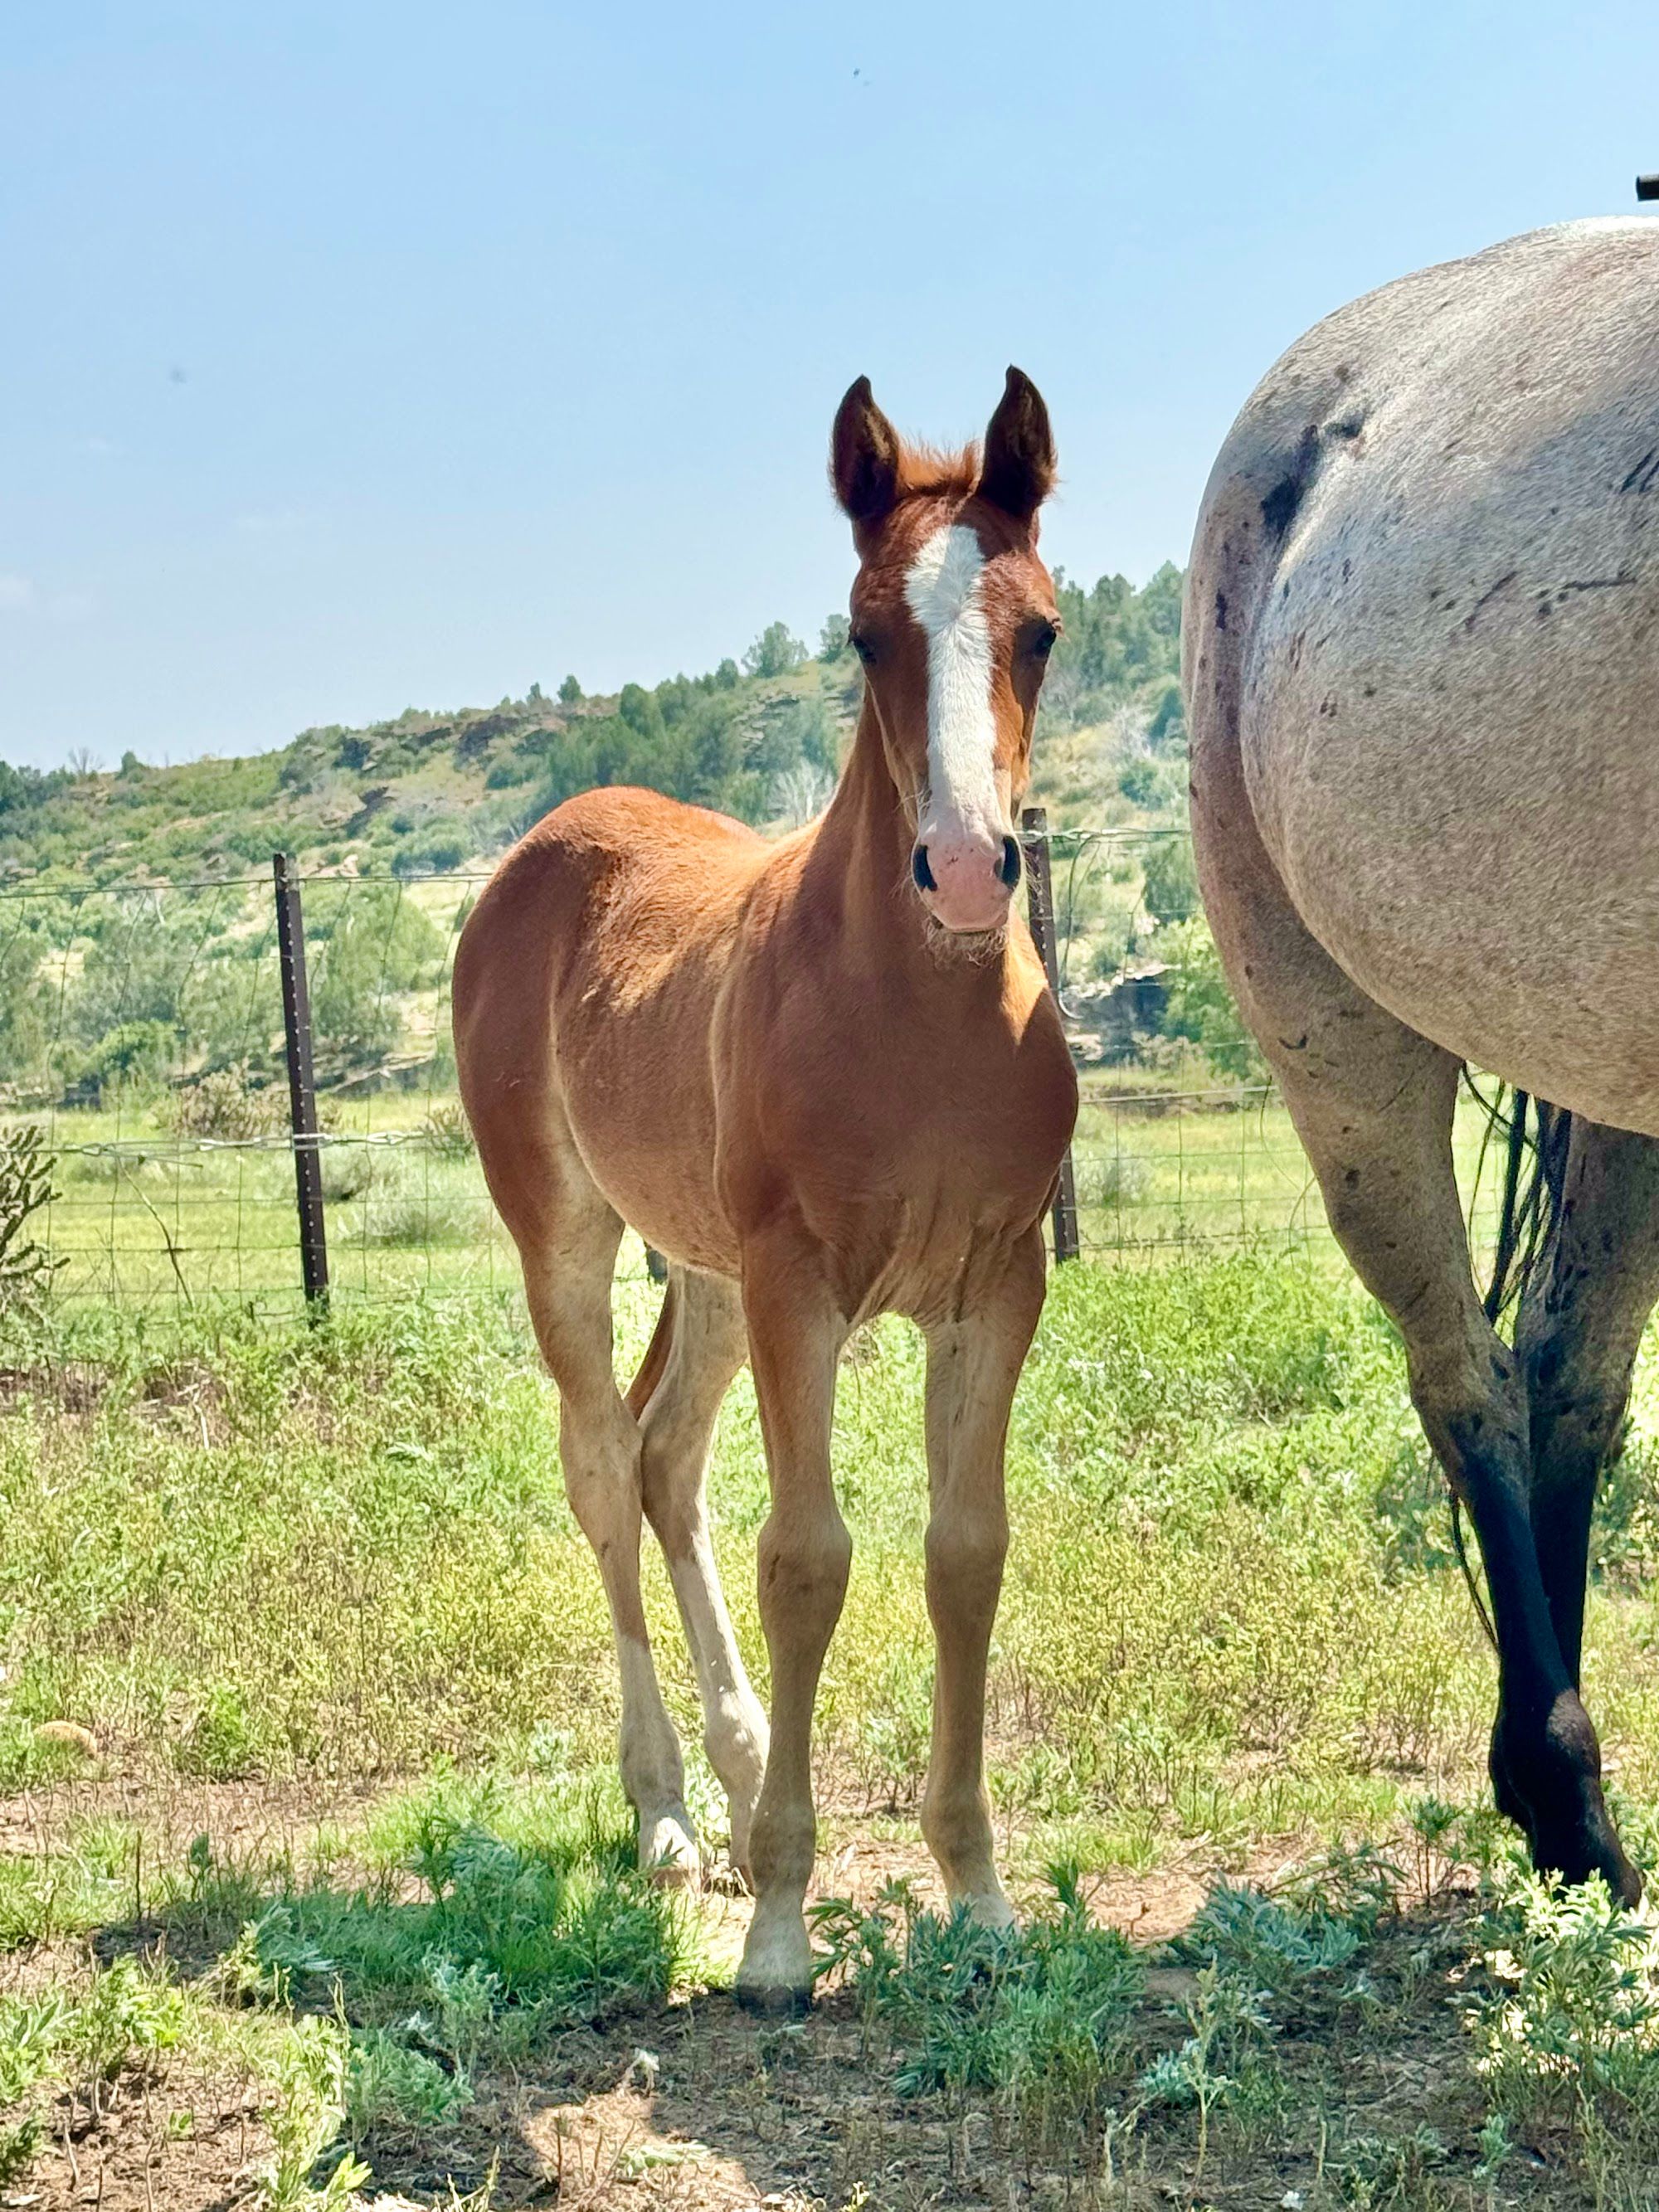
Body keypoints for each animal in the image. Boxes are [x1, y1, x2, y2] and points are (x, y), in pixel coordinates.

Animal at [452, 369, 1078, 2006]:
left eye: (1043, 629)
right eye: (865, 633)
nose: (967, 868)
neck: (919, 1016)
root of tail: (550, 841)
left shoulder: (994, 1285)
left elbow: (964, 1554)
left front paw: (976, 1895)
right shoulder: (807, 1284)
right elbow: (808, 1557)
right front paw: (786, 1930)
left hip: (710, 1270)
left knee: (667, 1461)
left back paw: (734, 1790)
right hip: (574, 1238)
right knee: (604, 1465)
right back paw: (676, 1816)